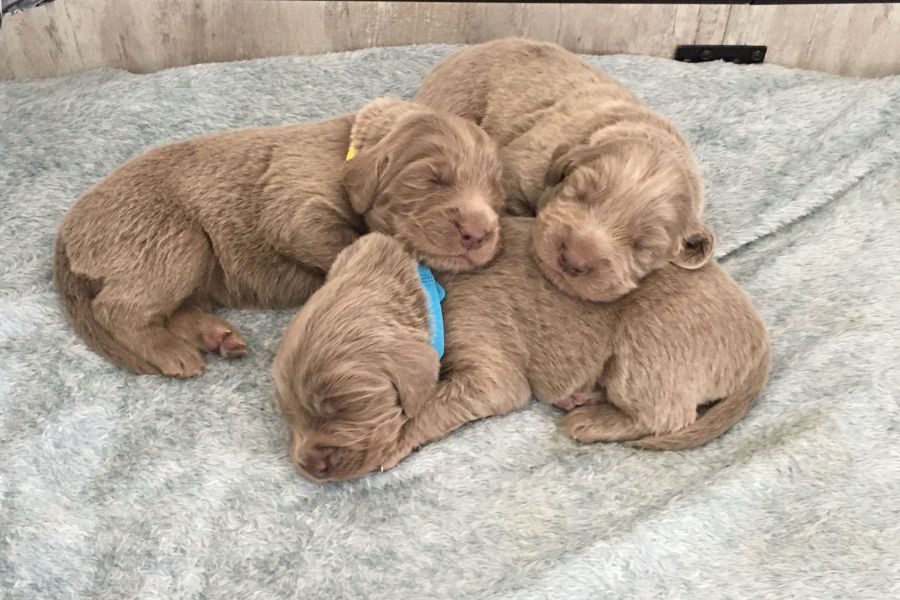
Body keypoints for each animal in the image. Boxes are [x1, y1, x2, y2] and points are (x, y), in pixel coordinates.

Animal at [54, 99, 506, 380]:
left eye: (497, 194)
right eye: (432, 178)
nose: (479, 233)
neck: (352, 144)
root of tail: (66, 231)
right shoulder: (295, 205)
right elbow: (336, 239)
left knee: (174, 308)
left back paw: (214, 336)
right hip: (171, 241)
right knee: (117, 308)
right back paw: (169, 351)